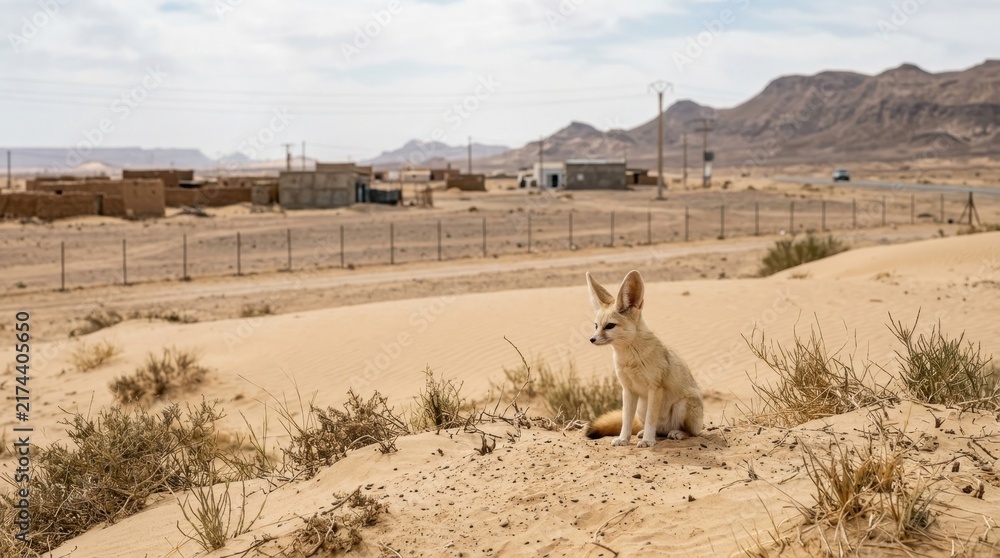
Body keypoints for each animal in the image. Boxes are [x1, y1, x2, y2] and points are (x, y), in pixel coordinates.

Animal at [584, 270, 703, 447]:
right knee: (658, 431)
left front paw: (648, 440)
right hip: (642, 407)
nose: (592, 339)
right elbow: (626, 419)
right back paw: (645, 433)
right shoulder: (627, 389)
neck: (630, 359)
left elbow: (650, 419)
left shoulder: (655, 388)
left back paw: (677, 433)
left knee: (692, 433)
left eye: (610, 326)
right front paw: (623, 439)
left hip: (683, 405)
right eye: (596, 326)